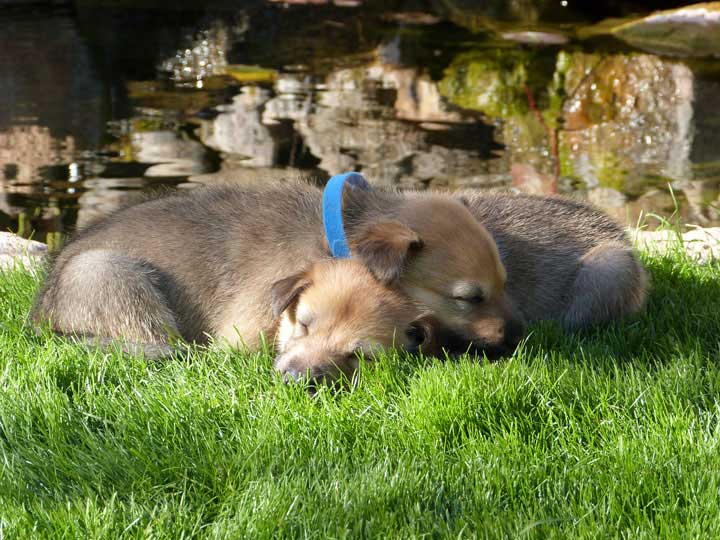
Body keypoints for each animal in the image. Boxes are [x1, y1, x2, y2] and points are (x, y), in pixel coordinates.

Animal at [31, 181, 524, 368]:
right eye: (469, 297)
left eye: (505, 283)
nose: (520, 334)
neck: (337, 236)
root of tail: (38, 313)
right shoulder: (246, 333)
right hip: (109, 273)